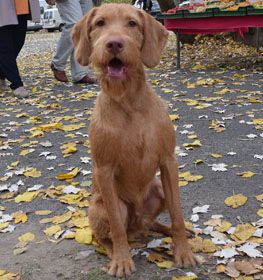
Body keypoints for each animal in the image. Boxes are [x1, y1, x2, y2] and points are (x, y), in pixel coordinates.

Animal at [72, 4, 198, 278]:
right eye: (99, 23)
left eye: (132, 23)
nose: (114, 43)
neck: (128, 101)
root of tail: (138, 227)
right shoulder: (104, 170)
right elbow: (116, 228)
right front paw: (122, 260)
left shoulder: (168, 162)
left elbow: (177, 215)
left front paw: (183, 251)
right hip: (102, 207)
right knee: (107, 236)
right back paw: (115, 254)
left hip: (158, 189)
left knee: (155, 222)